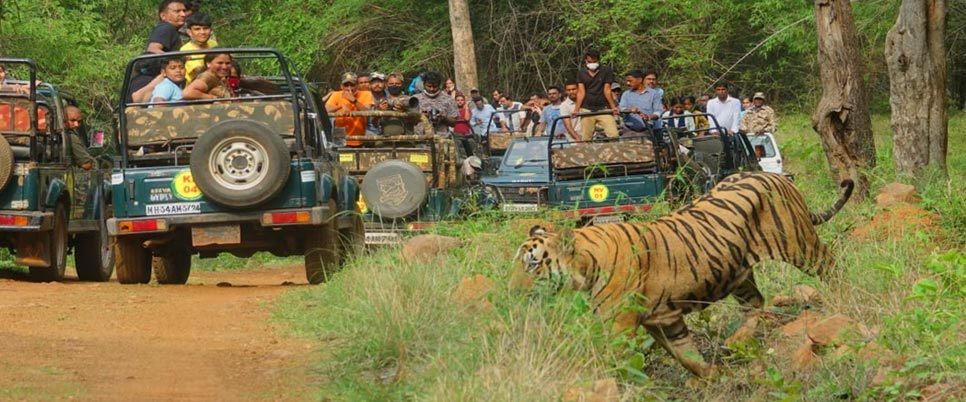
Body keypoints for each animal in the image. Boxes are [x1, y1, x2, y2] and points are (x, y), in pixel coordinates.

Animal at [516, 172, 856, 376]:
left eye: (533, 265)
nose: (513, 292)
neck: (587, 267)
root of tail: (774, 175)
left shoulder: (620, 325)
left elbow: (617, 361)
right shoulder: (664, 321)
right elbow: (685, 354)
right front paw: (711, 376)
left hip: (800, 244)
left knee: (833, 267)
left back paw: (843, 303)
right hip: (738, 273)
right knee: (756, 302)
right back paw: (737, 341)